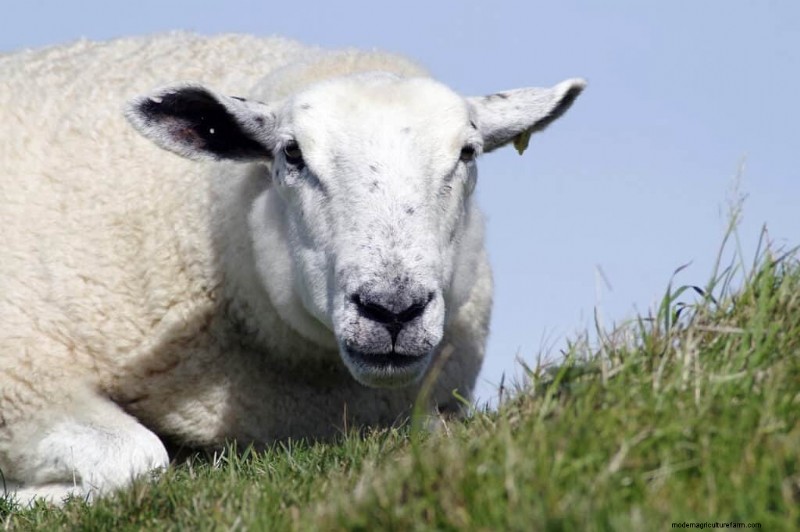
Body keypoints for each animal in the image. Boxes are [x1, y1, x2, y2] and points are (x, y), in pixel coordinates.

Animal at [0, 32, 584, 504]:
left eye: (467, 153)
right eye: (292, 154)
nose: (392, 310)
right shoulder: (23, 374)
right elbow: (139, 458)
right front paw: (25, 496)